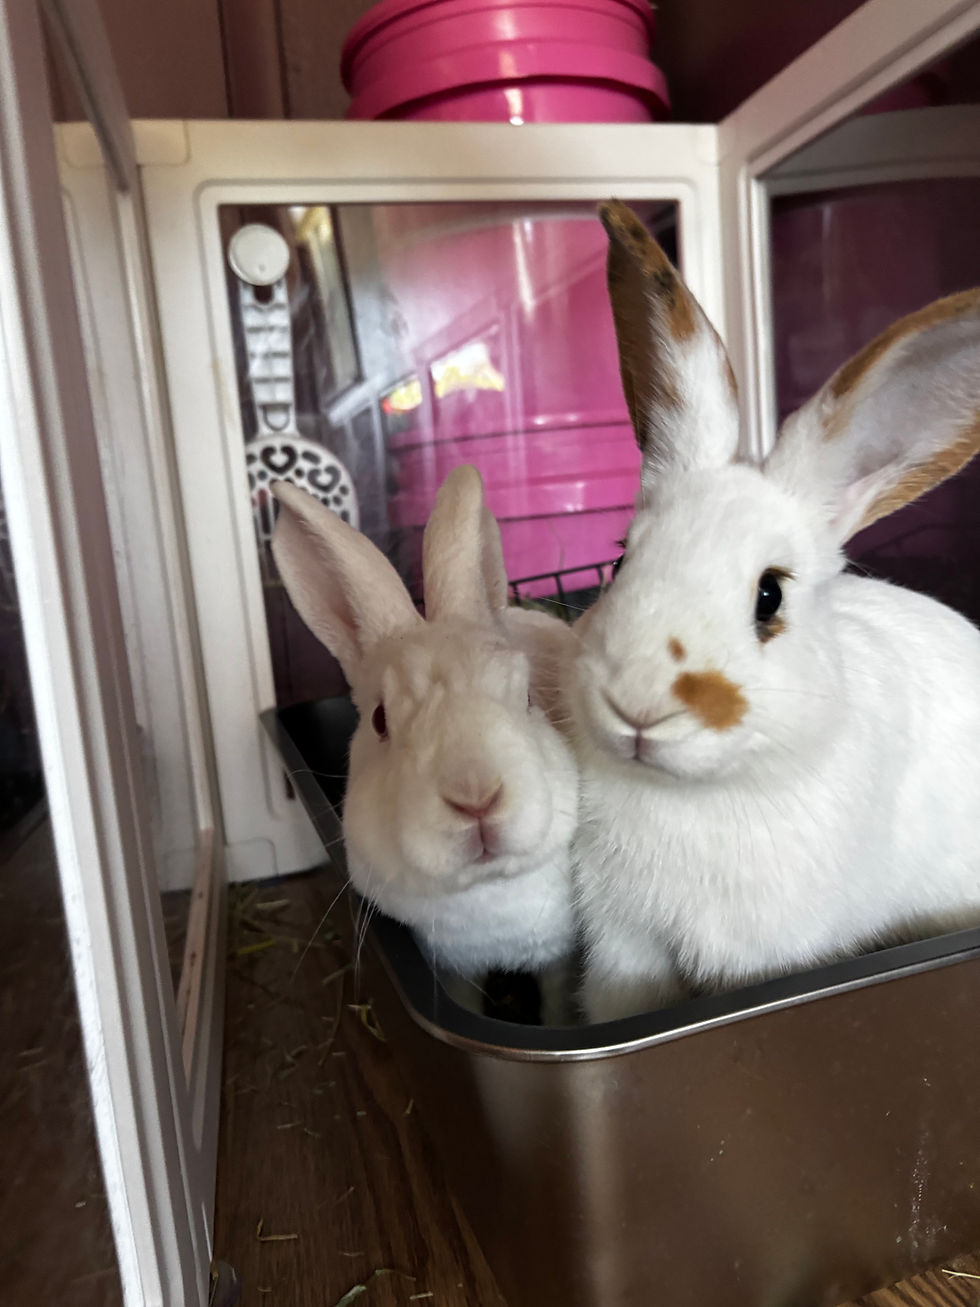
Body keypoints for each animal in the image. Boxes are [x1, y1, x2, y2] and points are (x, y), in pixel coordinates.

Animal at [271, 465, 579, 1022]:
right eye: (379, 720)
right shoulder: (453, 971)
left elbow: (559, 1008)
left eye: (526, 697)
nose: (476, 798)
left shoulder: (558, 962)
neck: (486, 891)